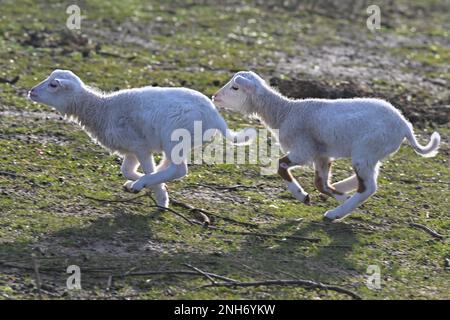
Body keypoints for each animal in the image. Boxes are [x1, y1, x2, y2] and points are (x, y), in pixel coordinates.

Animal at [28, 69, 253, 208]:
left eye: (53, 85)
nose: (31, 91)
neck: (102, 109)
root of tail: (216, 117)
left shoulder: (141, 147)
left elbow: (142, 168)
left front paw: (156, 194)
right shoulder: (130, 148)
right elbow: (126, 170)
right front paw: (141, 184)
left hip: (174, 137)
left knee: (179, 170)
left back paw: (145, 186)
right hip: (178, 143)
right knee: (170, 166)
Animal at [213, 70, 442, 220]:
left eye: (235, 87)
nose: (215, 97)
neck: (284, 112)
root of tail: (405, 126)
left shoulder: (304, 150)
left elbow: (281, 166)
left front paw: (302, 196)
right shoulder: (321, 155)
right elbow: (320, 184)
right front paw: (338, 196)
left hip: (366, 149)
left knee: (368, 187)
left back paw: (334, 214)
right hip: (372, 153)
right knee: (369, 180)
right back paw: (344, 192)